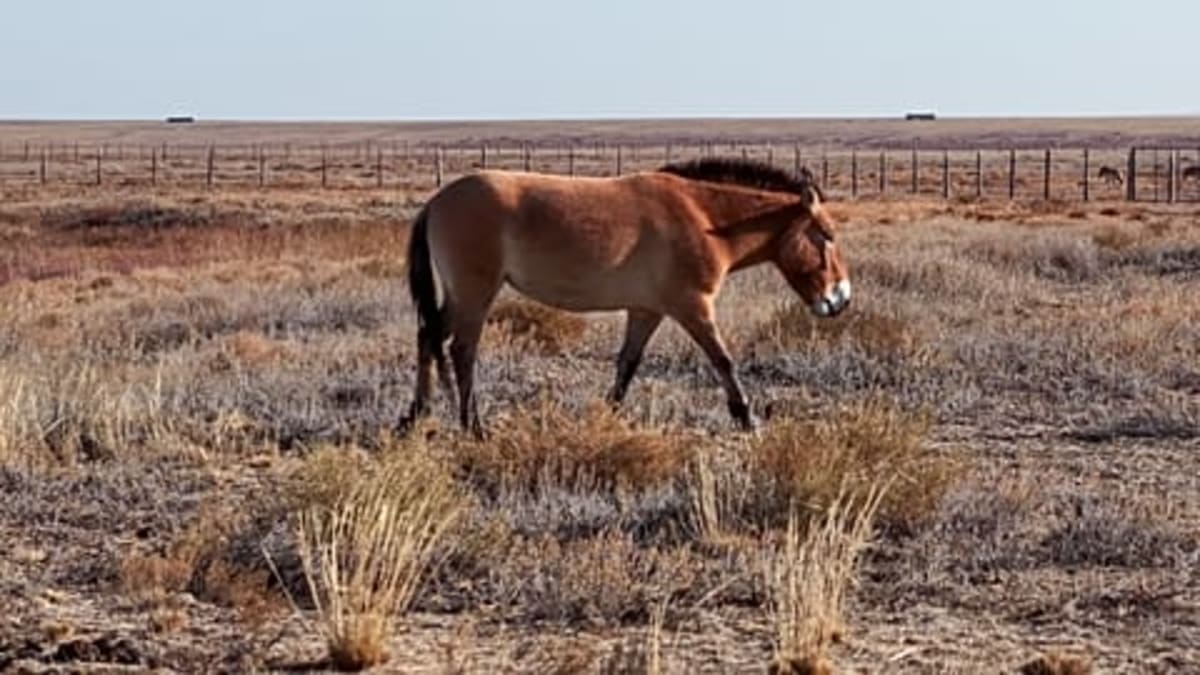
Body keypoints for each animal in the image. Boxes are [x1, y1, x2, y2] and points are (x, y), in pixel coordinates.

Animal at [403, 158, 851, 435]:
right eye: (827, 235)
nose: (841, 299)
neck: (704, 218)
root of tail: (436, 202)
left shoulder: (646, 311)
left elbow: (627, 365)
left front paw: (609, 416)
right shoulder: (693, 307)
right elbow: (723, 360)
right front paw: (746, 418)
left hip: (459, 298)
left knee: (428, 336)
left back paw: (415, 416)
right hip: (475, 294)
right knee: (461, 350)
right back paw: (473, 426)